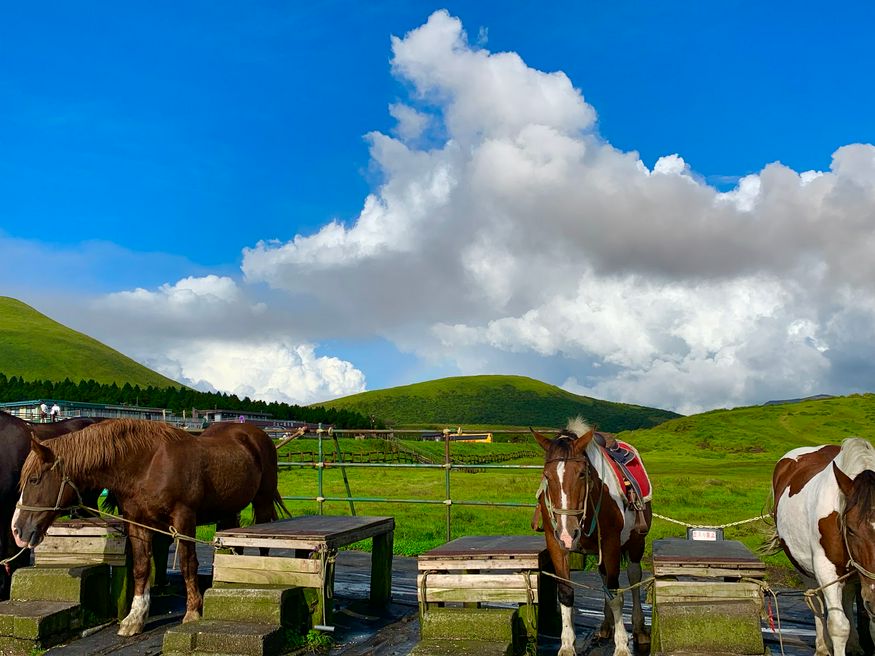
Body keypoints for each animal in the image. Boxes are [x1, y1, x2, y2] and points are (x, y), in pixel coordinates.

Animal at [11, 420, 288, 636]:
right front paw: (135, 618)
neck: (147, 465)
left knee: (263, 545)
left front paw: (193, 611)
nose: (17, 531)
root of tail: (255, 434)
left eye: (34, 480)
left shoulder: (184, 518)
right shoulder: (137, 521)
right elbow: (141, 567)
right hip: (228, 509)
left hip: (262, 502)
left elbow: (188, 563)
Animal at [532, 420, 652, 656]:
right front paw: (567, 645)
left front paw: (622, 645)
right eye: (547, 475)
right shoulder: (556, 543)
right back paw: (605, 626)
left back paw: (639, 628)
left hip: (636, 543)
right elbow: (566, 593)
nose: (568, 533)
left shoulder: (611, 543)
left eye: (581, 474)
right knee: (604, 577)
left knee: (633, 577)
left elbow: (616, 594)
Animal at [772, 436, 875, 656]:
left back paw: (854, 645)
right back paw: (821, 646)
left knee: (846, 597)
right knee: (816, 601)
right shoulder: (825, 568)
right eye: (850, 529)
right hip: (803, 566)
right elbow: (838, 626)